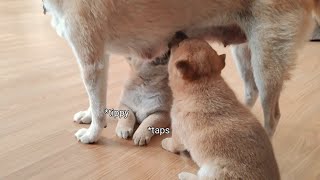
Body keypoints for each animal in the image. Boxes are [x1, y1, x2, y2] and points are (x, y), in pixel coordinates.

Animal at [43, 0, 318, 143]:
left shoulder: (91, 59)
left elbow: (98, 104)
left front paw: (92, 134)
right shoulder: (98, 56)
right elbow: (95, 99)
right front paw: (88, 116)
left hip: (266, 62)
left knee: (273, 117)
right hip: (244, 52)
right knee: (250, 92)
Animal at [162, 37, 280, 180]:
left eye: (178, 44)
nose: (179, 34)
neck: (206, 80)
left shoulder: (178, 134)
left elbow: (172, 144)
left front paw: (165, 143)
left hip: (212, 172)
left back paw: (185, 175)